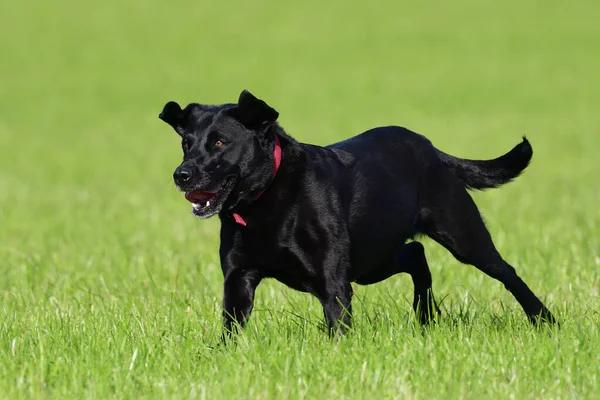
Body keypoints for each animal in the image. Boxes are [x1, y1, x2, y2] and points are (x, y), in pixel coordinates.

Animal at [159, 90, 556, 334]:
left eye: (219, 142)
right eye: (186, 144)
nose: (181, 174)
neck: (266, 201)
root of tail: (429, 147)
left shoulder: (334, 284)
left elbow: (337, 328)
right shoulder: (238, 279)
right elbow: (230, 329)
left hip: (462, 236)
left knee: (506, 272)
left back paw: (545, 320)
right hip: (372, 261)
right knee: (417, 254)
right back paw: (425, 318)